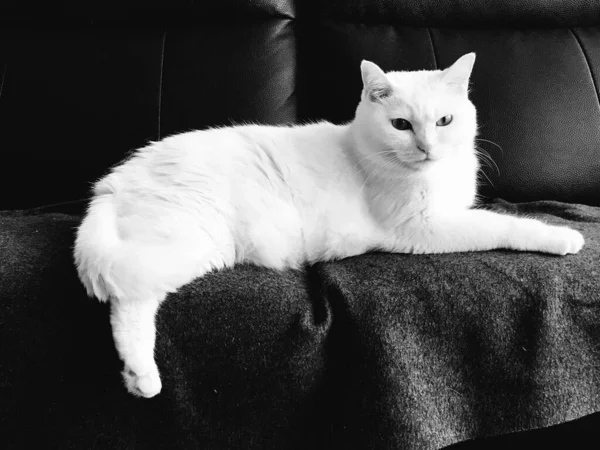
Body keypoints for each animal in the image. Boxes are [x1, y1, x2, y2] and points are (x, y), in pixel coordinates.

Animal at [72, 53, 584, 398]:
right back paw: (144, 376)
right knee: (127, 299)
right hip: (187, 241)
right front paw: (561, 236)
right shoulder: (424, 228)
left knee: (132, 303)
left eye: (445, 120)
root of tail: (113, 182)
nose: (427, 148)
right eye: (401, 125)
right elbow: (501, 225)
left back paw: (138, 378)